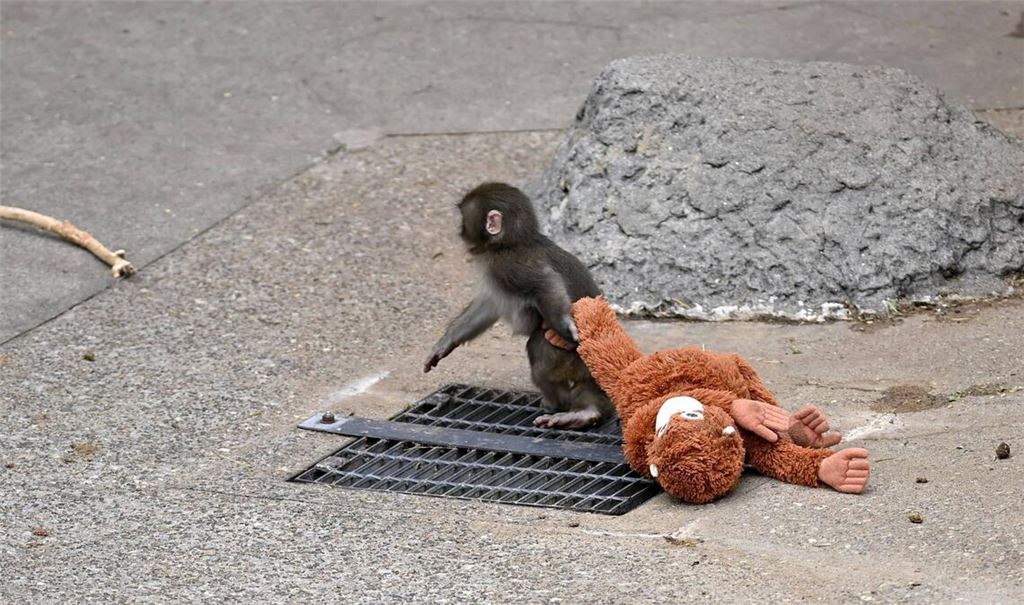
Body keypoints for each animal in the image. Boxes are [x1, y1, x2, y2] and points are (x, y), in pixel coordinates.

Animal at [423, 182, 615, 430]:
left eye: (464, 220)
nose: (459, 231)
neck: (510, 243)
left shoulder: (507, 265)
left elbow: (545, 283)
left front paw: (567, 325)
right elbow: (488, 306)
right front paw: (446, 342)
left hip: (570, 357)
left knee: (538, 351)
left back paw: (558, 404)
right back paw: (586, 413)